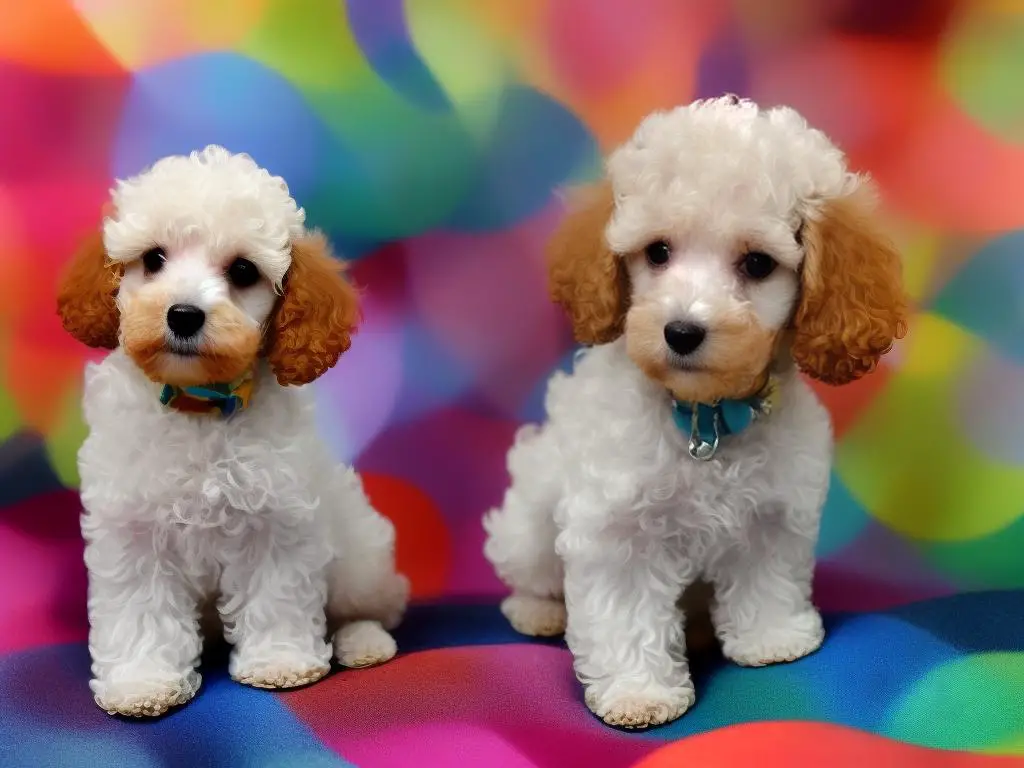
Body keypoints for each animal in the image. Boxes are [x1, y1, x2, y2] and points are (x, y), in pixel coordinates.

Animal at [56, 147, 407, 720]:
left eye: (243, 270)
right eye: (153, 259)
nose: (183, 314)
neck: (198, 402)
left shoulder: (278, 516)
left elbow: (277, 592)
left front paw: (280, 661)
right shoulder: (131, 529)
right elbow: (140, 609)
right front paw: (142, 682)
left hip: (360, 559)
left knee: (371, 604)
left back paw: (363, 642)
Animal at [483, 99, 909, 729]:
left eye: (756, 264)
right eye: (658, 252)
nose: (681, 331)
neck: (705, 416)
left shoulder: (774, 510)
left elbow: (766, 575)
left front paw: (771, 638)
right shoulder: (616, 530)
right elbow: (626, 614)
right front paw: (639, 693)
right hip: (530, 522)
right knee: (528, 570)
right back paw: (539, 611)